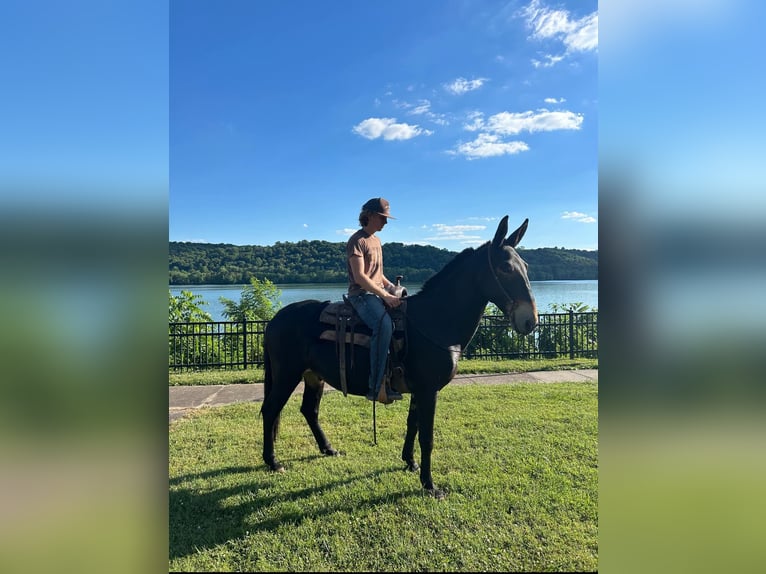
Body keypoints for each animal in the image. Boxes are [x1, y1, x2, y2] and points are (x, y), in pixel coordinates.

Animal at [260, 216, 538, 498]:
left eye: (526, 266)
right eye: (505, 268)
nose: (530, 321)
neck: (435, 320)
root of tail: (275, 320)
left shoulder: (419, 390)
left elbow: (412, 425)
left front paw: (410, 463)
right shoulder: (428, 390)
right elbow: (427, 436)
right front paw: (430, 485)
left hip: (313, 376)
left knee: (309, 410)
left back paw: (328, 449)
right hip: (286, 374)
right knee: (270, 410)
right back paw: (273, 462)